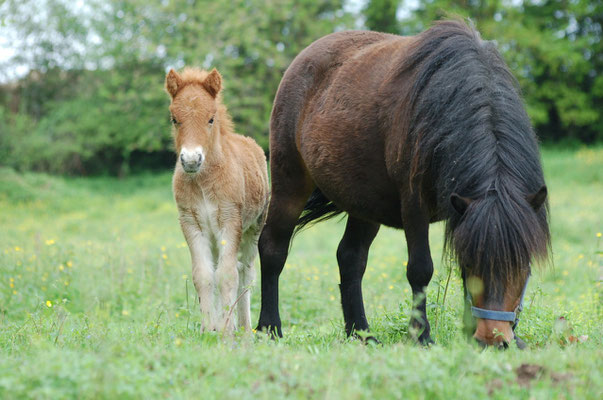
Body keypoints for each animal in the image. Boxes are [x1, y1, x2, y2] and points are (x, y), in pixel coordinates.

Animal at [165, 67, 268, 332]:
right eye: (174, 119)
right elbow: (204, 275)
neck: (202, 182)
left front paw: (227, 329)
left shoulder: (230, 222)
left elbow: (228, 275)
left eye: (211, 119)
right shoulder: (191, 223)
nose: (192, 160)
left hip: (253, 230)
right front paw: (209, 329)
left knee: (246, 273)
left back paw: (244, 327)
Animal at [258, 21, 548, 346]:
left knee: (350, 258)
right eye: (474, 262)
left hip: (364, 203)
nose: (493, 338)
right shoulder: (415, 204)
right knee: (273, 248)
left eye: (522, 265)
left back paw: (361, 333)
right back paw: (269, 328)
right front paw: (422, 335)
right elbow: (421, 269)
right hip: (290, 182)